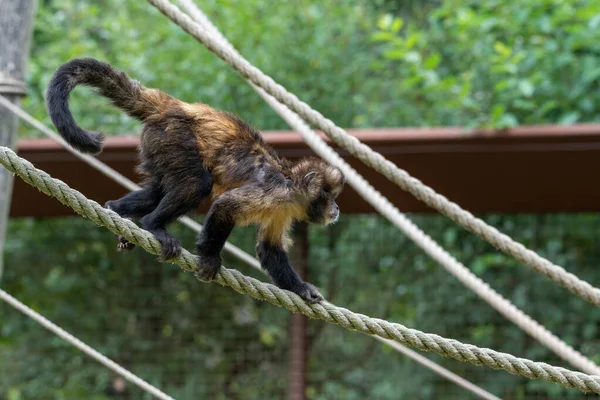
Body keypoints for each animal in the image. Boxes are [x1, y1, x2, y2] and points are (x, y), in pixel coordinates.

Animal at [44, 57, 344, 304]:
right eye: (329, 196)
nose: (336, 208)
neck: (290, 184)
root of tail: (173, 106)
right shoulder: (275, 193)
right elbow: (225, 205)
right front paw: (210, 257)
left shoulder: (283, 208)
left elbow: (269, 248)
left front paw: (301, 289)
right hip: (173, 136)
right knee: (197, 184)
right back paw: (153, 225)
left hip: (157, 144)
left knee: (157, 190)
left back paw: (116, 210)